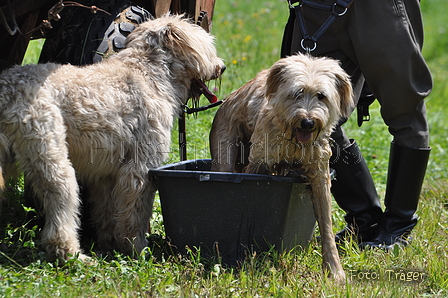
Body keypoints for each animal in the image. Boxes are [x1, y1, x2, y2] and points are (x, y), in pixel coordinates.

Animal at [0, 14, 224, 260]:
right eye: (208, 47)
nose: (221, 67)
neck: (149, 73)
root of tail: (7, 90)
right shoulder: (139, 169)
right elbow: (135, 212)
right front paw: (136, 247)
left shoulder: (105, 173)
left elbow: (108, 211)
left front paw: (109, 244)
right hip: (52, 157)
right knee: (60, 208)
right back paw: (72, 253)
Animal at [210, 54, 354, 282]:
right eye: (297, 93)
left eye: (321, 96)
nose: (308, 122)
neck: (293, 139)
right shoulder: (258, 164)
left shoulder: (320, 175)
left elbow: (326, 226)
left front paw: (335, 271)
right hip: (224, 155)